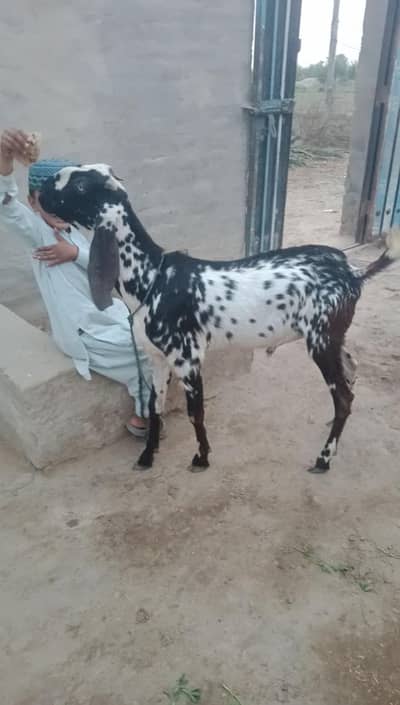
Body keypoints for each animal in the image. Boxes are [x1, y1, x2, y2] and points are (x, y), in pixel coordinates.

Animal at [39, 164, 400, 473]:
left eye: (81, 185)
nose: (41, 188)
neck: (153, 278)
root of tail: (353, 272)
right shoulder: (157, 358)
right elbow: (155, 408)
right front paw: (147, 456)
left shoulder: (187, 358)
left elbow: (195, 413)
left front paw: (201, 458)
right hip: (332, 336)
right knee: (350, 373)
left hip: (321, 340)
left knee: (343, 397)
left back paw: (324, 458)